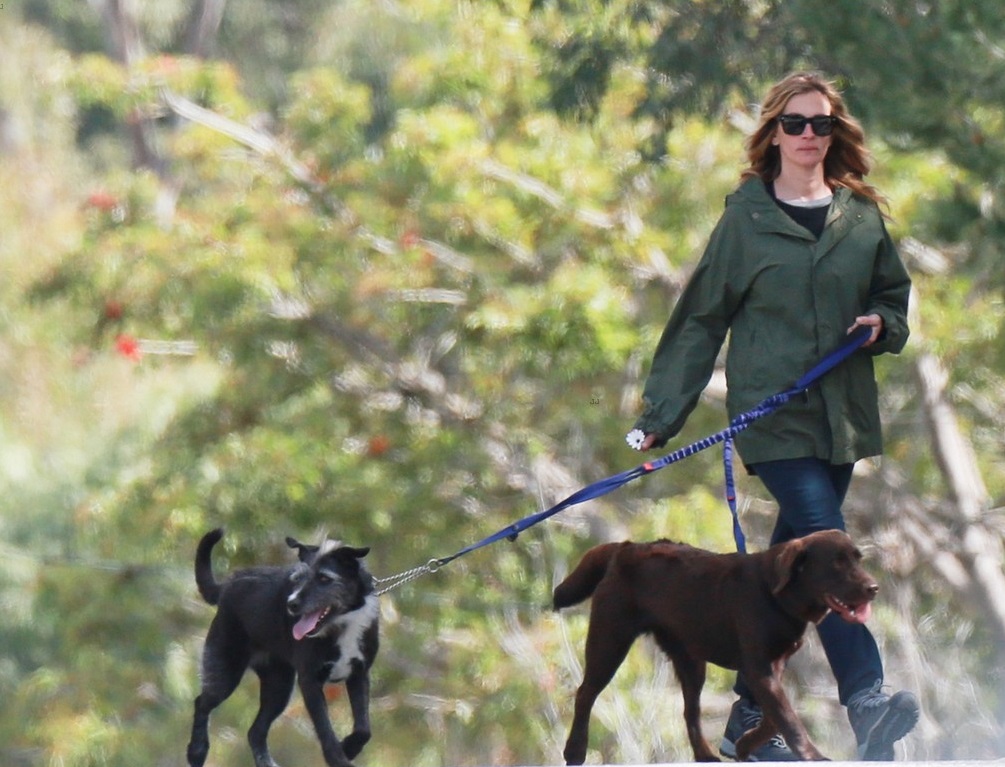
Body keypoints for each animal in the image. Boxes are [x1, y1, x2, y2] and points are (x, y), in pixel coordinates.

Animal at [186, 526, 377, 767]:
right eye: (297, 578)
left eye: (324, 578)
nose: (291, 604)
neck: (343, 623)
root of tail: (227, 586)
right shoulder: (309, 681)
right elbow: (325, 731)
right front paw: (339, 759)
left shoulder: (359, 674)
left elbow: (364, 729)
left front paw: (350, 747)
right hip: (225, 671)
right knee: (202, 702)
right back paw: (197, 751)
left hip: (279, 685)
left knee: (255, 732)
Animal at [554, 530, 876, 763]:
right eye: (837, 563)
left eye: (859, 559)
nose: (874, 588)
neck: (776, 597)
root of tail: (625, 547)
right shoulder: (758, 669)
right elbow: (786, 716)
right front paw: (812, 756)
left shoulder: (774, 667)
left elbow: (776, 717)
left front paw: (745, 745)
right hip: (610, 641)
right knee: (585, 694)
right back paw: (575, 751)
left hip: (691, 661)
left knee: (690, 712)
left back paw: (705, 756)